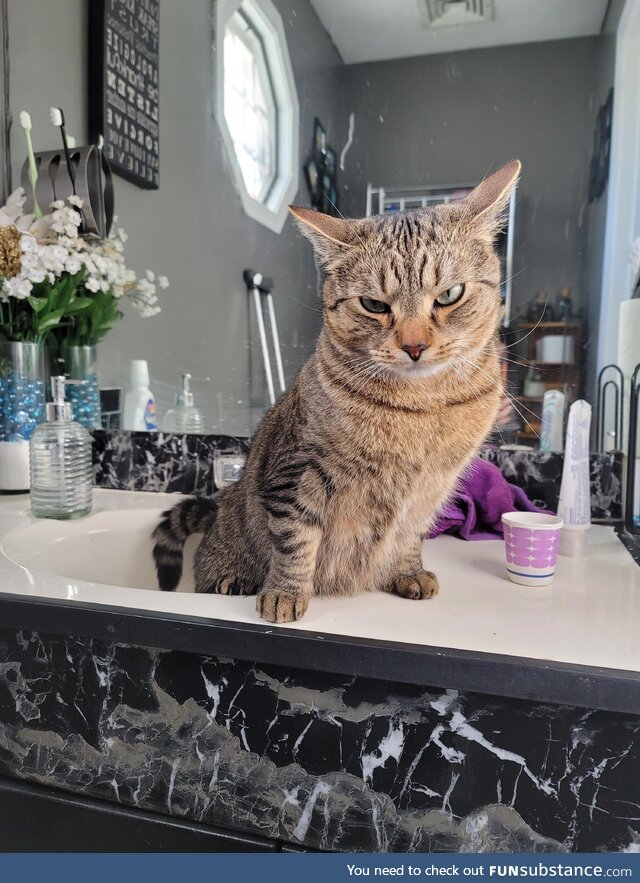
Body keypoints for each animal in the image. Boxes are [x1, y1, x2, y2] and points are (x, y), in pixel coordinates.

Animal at [152, 162, 524, 624]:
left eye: (449, 295)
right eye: (374, 305)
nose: (414, 346)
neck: (420, 408)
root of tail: (220, 504)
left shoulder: (430, 490)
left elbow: (409, 535)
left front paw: (408, 572)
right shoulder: (296, 473)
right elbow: (295, 541)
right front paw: (284, 593)